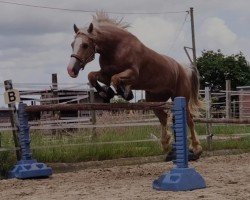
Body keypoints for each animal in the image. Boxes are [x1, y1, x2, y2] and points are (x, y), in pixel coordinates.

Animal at [67, 12, 203, 159]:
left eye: (85, 45)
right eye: (72, 44)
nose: (71, 70)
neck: (116, 47)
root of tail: (183, 68)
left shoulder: (132, 74)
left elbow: (116, 79)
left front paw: (124, 93)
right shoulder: (105, 74)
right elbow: (92, 76)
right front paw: (106, 93)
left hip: (180, 96)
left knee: (189, 119)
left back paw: (196, 148)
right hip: (154, 99)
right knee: (163, 117)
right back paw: (166, 145)